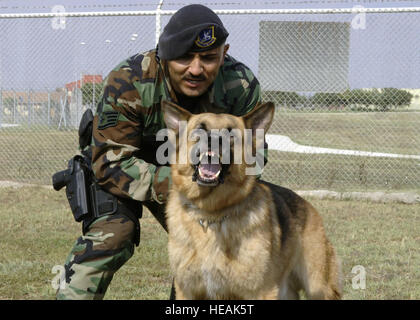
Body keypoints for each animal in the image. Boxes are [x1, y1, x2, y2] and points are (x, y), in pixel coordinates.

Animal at [161, 100, 342, 300]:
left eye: (230, 133)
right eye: (200, 129)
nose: (214, 140)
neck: (210, 214)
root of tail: (308, 206)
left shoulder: (261, 292)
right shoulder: (187, 291)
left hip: (318, 287)